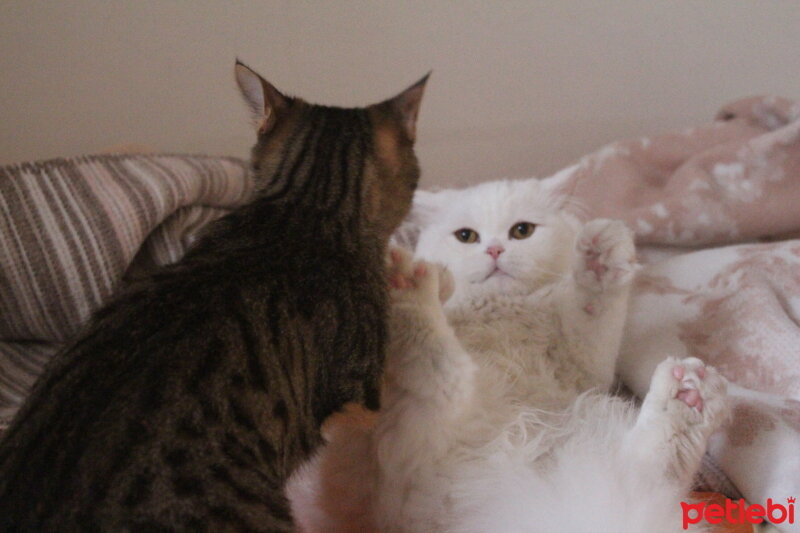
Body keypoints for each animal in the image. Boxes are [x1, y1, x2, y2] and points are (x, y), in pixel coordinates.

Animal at [290, 178, 732, 532]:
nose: (495, 251)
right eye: (466, 236)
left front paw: (599, 258)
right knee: (442, 369)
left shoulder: (585, 367)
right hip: (410, 442)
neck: (502, 313)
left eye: (522, 231)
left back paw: (690, 399)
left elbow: (594, 307)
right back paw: (407, 283)